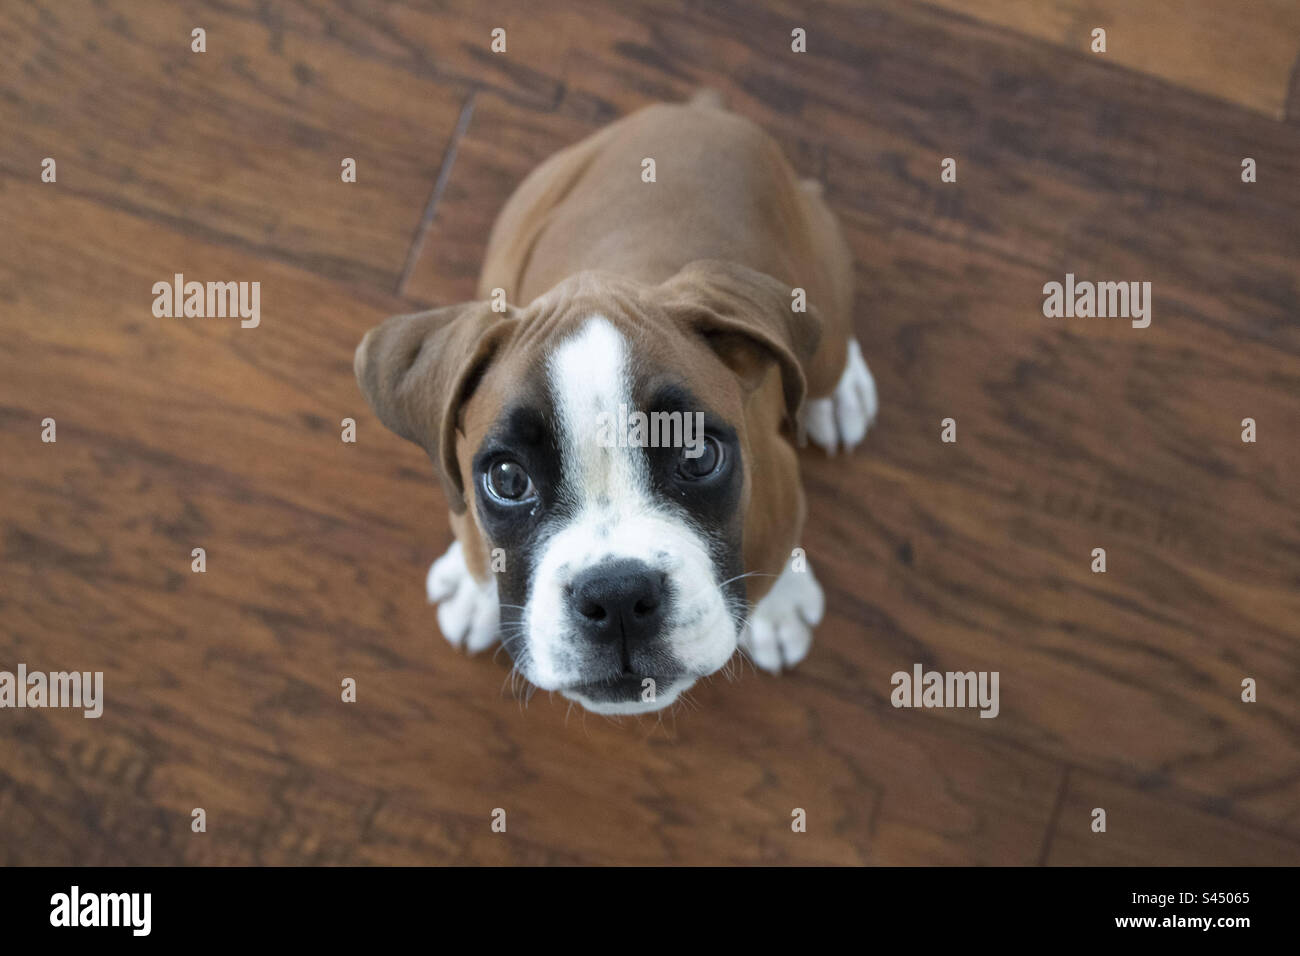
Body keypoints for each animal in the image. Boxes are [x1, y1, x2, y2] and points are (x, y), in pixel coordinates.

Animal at [358, 91, 873, 712]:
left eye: (699, 456)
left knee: (827, 353)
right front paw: (472, 579)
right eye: (507, 479)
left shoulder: (778, 480)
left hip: (820, 283)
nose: (618, 594)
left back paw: (840, 395)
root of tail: (700, 110)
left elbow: (782, 545)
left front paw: (781, 605)